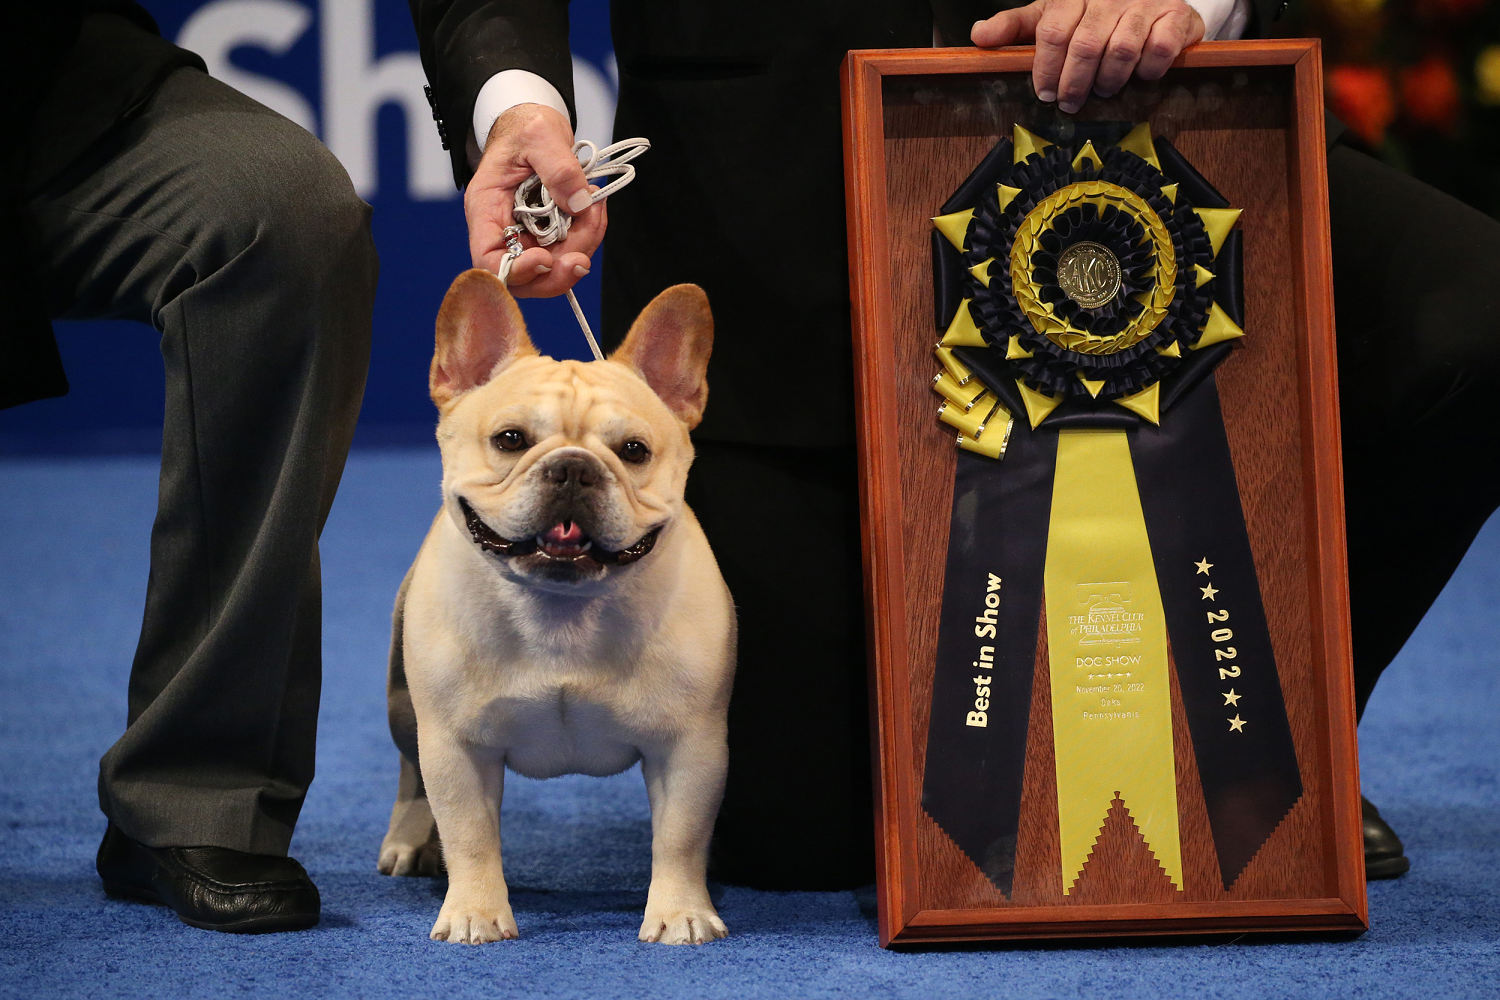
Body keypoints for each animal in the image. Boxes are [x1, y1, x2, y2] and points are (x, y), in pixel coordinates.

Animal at [378, 268, 735, 947]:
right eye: (510, 440)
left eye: (634, 450)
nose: (572, 468)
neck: (562, 609)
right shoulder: (456, 747)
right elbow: (469, 833)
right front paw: (474, 912)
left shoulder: (690, 746)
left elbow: (681, 837)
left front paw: (680, 912)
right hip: (404, 706)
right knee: (411, 774)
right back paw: (409, 840)